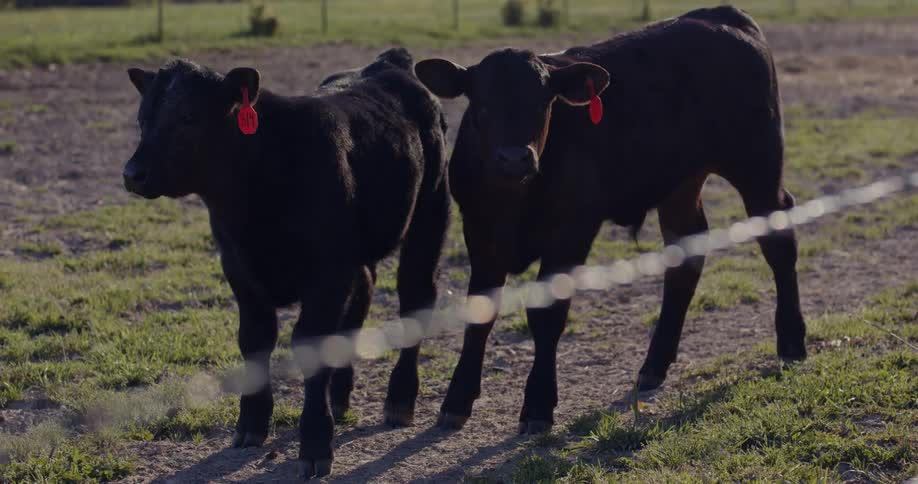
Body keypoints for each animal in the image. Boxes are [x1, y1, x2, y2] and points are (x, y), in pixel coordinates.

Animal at [122, 48, 449, 479]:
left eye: (189, 116)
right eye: (143, 118)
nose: (132, 174)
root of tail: (390, 62)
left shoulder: (326, 275)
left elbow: (310, 344)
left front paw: (315, 442)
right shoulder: (240, 270)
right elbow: (254, 341)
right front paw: (251, 424)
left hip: (430, 215)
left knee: (416, 298)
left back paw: (399, 400)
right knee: (363, 292)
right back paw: (340, 395)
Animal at [415, 6, 806, 434]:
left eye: (543, 103)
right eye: (481, 105)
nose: (514, 158)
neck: (516, 199)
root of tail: (720, 15)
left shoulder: (571, 232)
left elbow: (548, 316)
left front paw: (538, 405)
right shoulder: (480, 231)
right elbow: (480, 313)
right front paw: (457, 400)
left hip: (758, 165)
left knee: (778, 241)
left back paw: (791, 342)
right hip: (681, 183)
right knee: (686, 258)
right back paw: (654, 365)